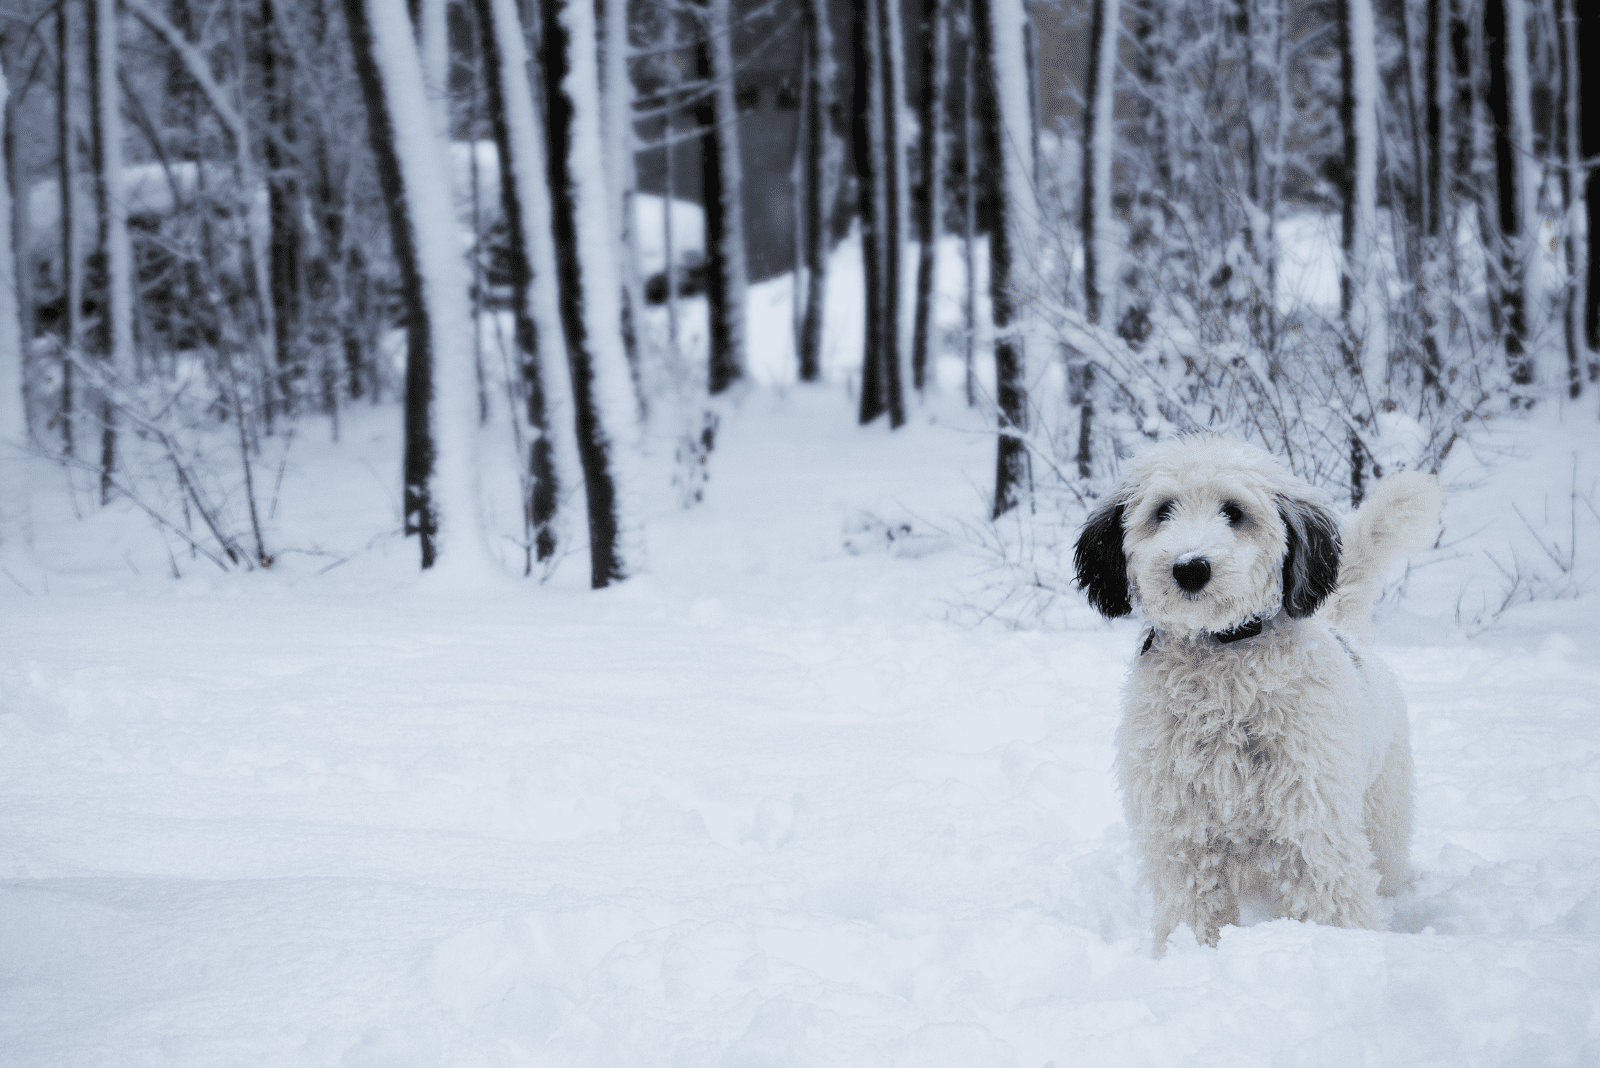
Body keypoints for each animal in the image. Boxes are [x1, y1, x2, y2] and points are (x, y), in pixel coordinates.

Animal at [1075, 434, 1440, 952]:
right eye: (1163, 510)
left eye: (1234, 511)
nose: (1190, 568)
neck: (1220, 656)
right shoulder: (1182, 829)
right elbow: (1194, 909)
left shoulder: (1312, 818)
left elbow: (1333, 898)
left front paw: (1344, 953)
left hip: (1383, 814)